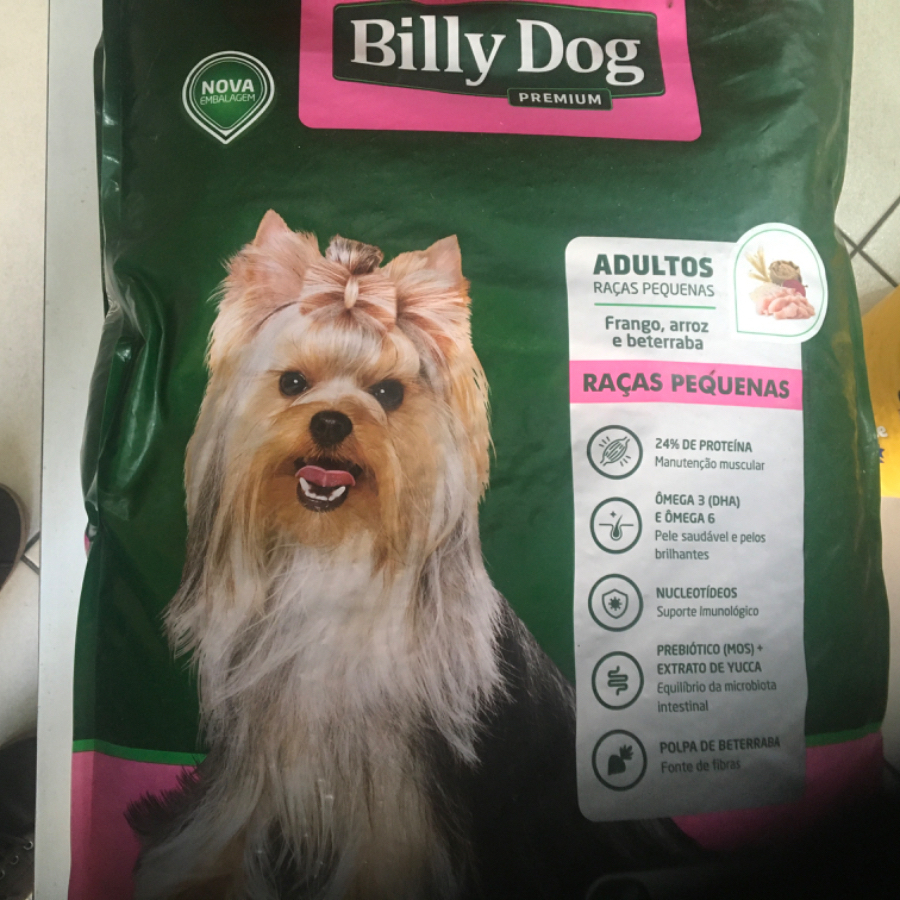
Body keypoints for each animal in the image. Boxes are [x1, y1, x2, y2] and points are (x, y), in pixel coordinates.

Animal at [129, 211, 691, 900]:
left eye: (389, 393)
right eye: (292, 383)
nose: (332, 421)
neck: (332, 550)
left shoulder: (401, 778)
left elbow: (384, 850)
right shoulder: (258, 745)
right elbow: (229, 822)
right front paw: (193, 876)